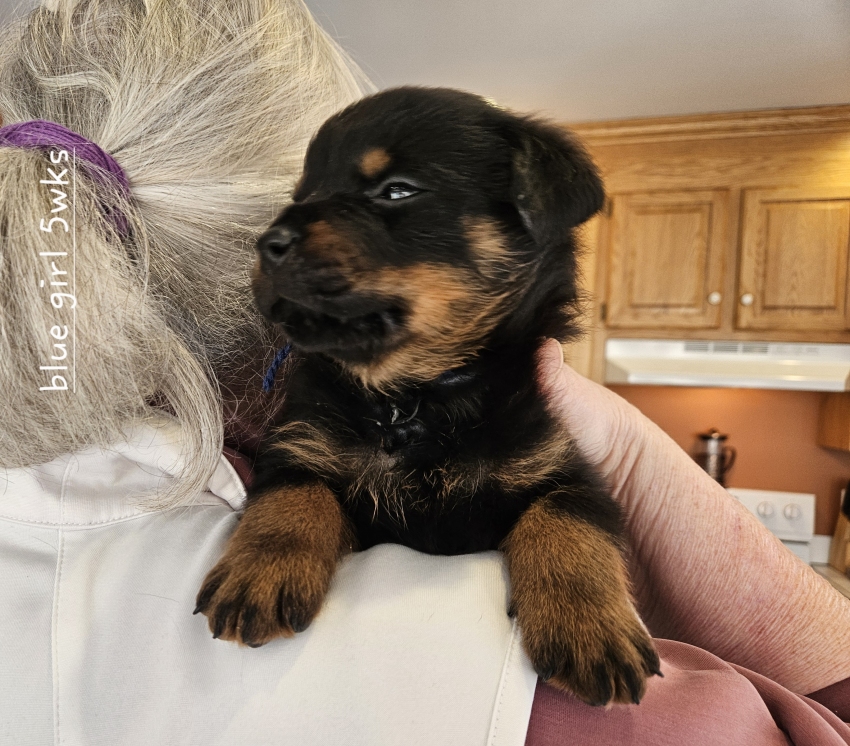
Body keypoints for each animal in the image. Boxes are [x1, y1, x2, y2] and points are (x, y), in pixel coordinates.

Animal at [195, 87, 661, 706]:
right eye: (301, 197)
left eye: (397, 190)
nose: (267, 244)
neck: (414, 396)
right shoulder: (300, 446)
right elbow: (293, 495)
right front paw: (261, 567)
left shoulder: (564, 466)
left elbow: (568, 521)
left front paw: (590, 625)